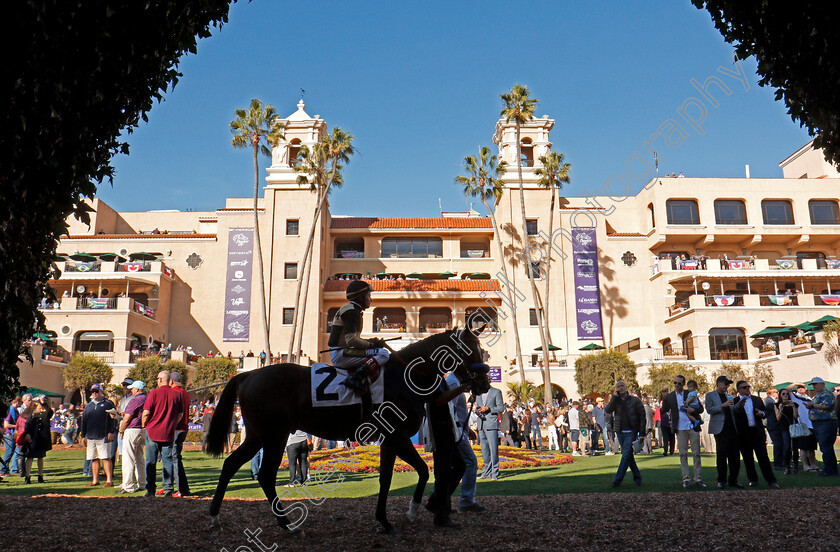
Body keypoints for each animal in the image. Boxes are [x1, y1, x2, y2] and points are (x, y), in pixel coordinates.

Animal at [206, 326, 488, 532]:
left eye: (482, 350)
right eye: (471, 350)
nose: (484, 383)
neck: (404, 374)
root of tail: (249, 375)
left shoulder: (389, 440)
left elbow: (386, 477)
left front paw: (383, 520)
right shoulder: (397, 436)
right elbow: (421, 470)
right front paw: (410, 513)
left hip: (257, 435)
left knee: (230, 465)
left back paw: (215, 517)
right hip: (275, 436)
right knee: (265, 475)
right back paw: (287, 524)